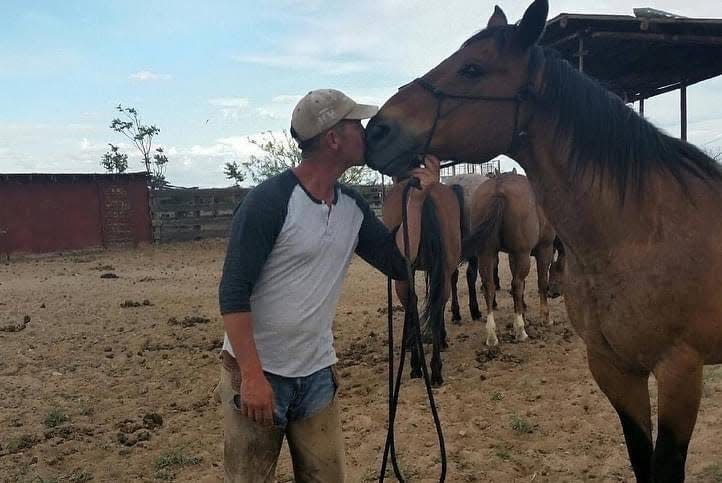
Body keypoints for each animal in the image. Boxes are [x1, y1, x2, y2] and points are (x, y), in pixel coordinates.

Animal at [464, 172, 556, 346]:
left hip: (486, 253)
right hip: (522, 254)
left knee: (489, 286)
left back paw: (492, 335)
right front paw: (545, 317)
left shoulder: (513, 255)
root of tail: (498, 188)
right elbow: (541, 282)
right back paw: (520, 330)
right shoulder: (544, 249)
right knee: (517, 284)